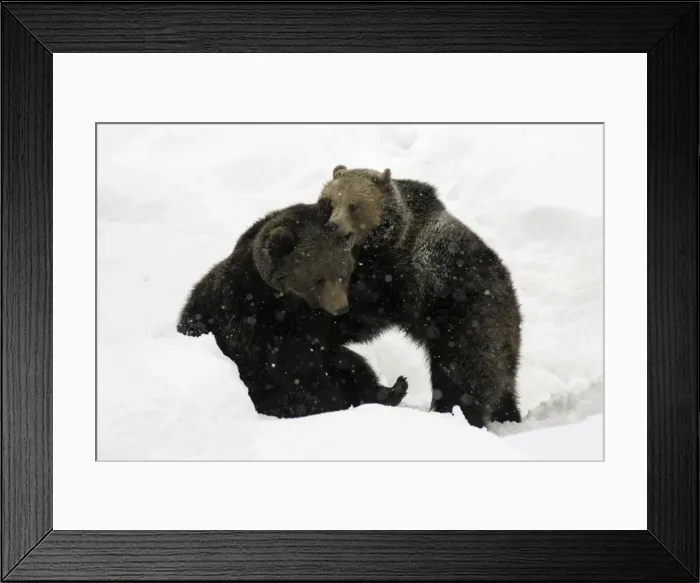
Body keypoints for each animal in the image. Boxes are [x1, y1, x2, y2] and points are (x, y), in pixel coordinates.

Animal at [176, 202, 409, 420]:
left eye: (343, 273)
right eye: (318, 278)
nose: (340, 308)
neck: (289, 300)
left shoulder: (321, 321)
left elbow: (358, 320)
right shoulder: (252, 314)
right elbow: (290, 365)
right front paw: (325, 401)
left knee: (352, 365)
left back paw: (393, 389)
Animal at [318, 165, 523, 428]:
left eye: (354, 205)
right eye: (328, 201)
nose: (333, 226)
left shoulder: (404, 277)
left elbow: (372, 310)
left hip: (469, 322)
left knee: (464, 376)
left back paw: (456, 414)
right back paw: (508, 415)